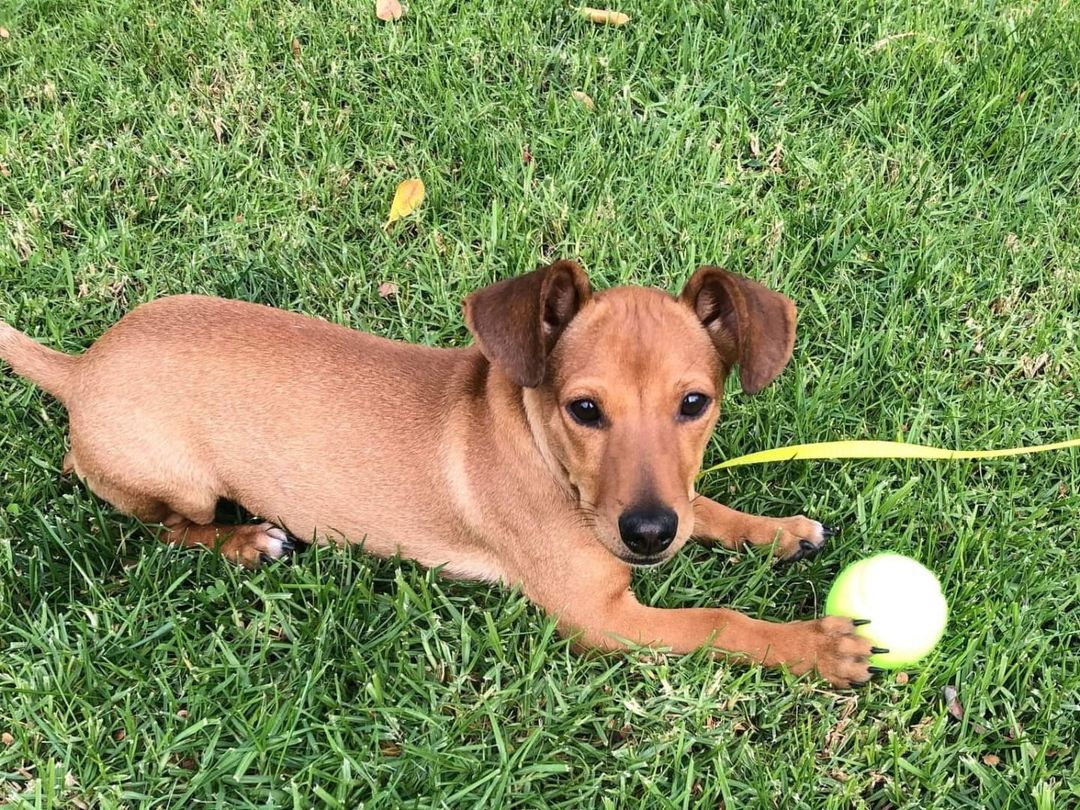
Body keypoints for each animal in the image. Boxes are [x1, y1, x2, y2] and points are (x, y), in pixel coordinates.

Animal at [0, 264, 876, 686]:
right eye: (584, 409)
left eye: (695, 403)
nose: (649, 534)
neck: (542, 450)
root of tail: (82, 369)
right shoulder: (605, 619)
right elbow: (719, 622)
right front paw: (813, 645)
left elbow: (709, 505)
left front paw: (775, 531)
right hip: (176, 479)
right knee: (165, 525)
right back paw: (247, 541)